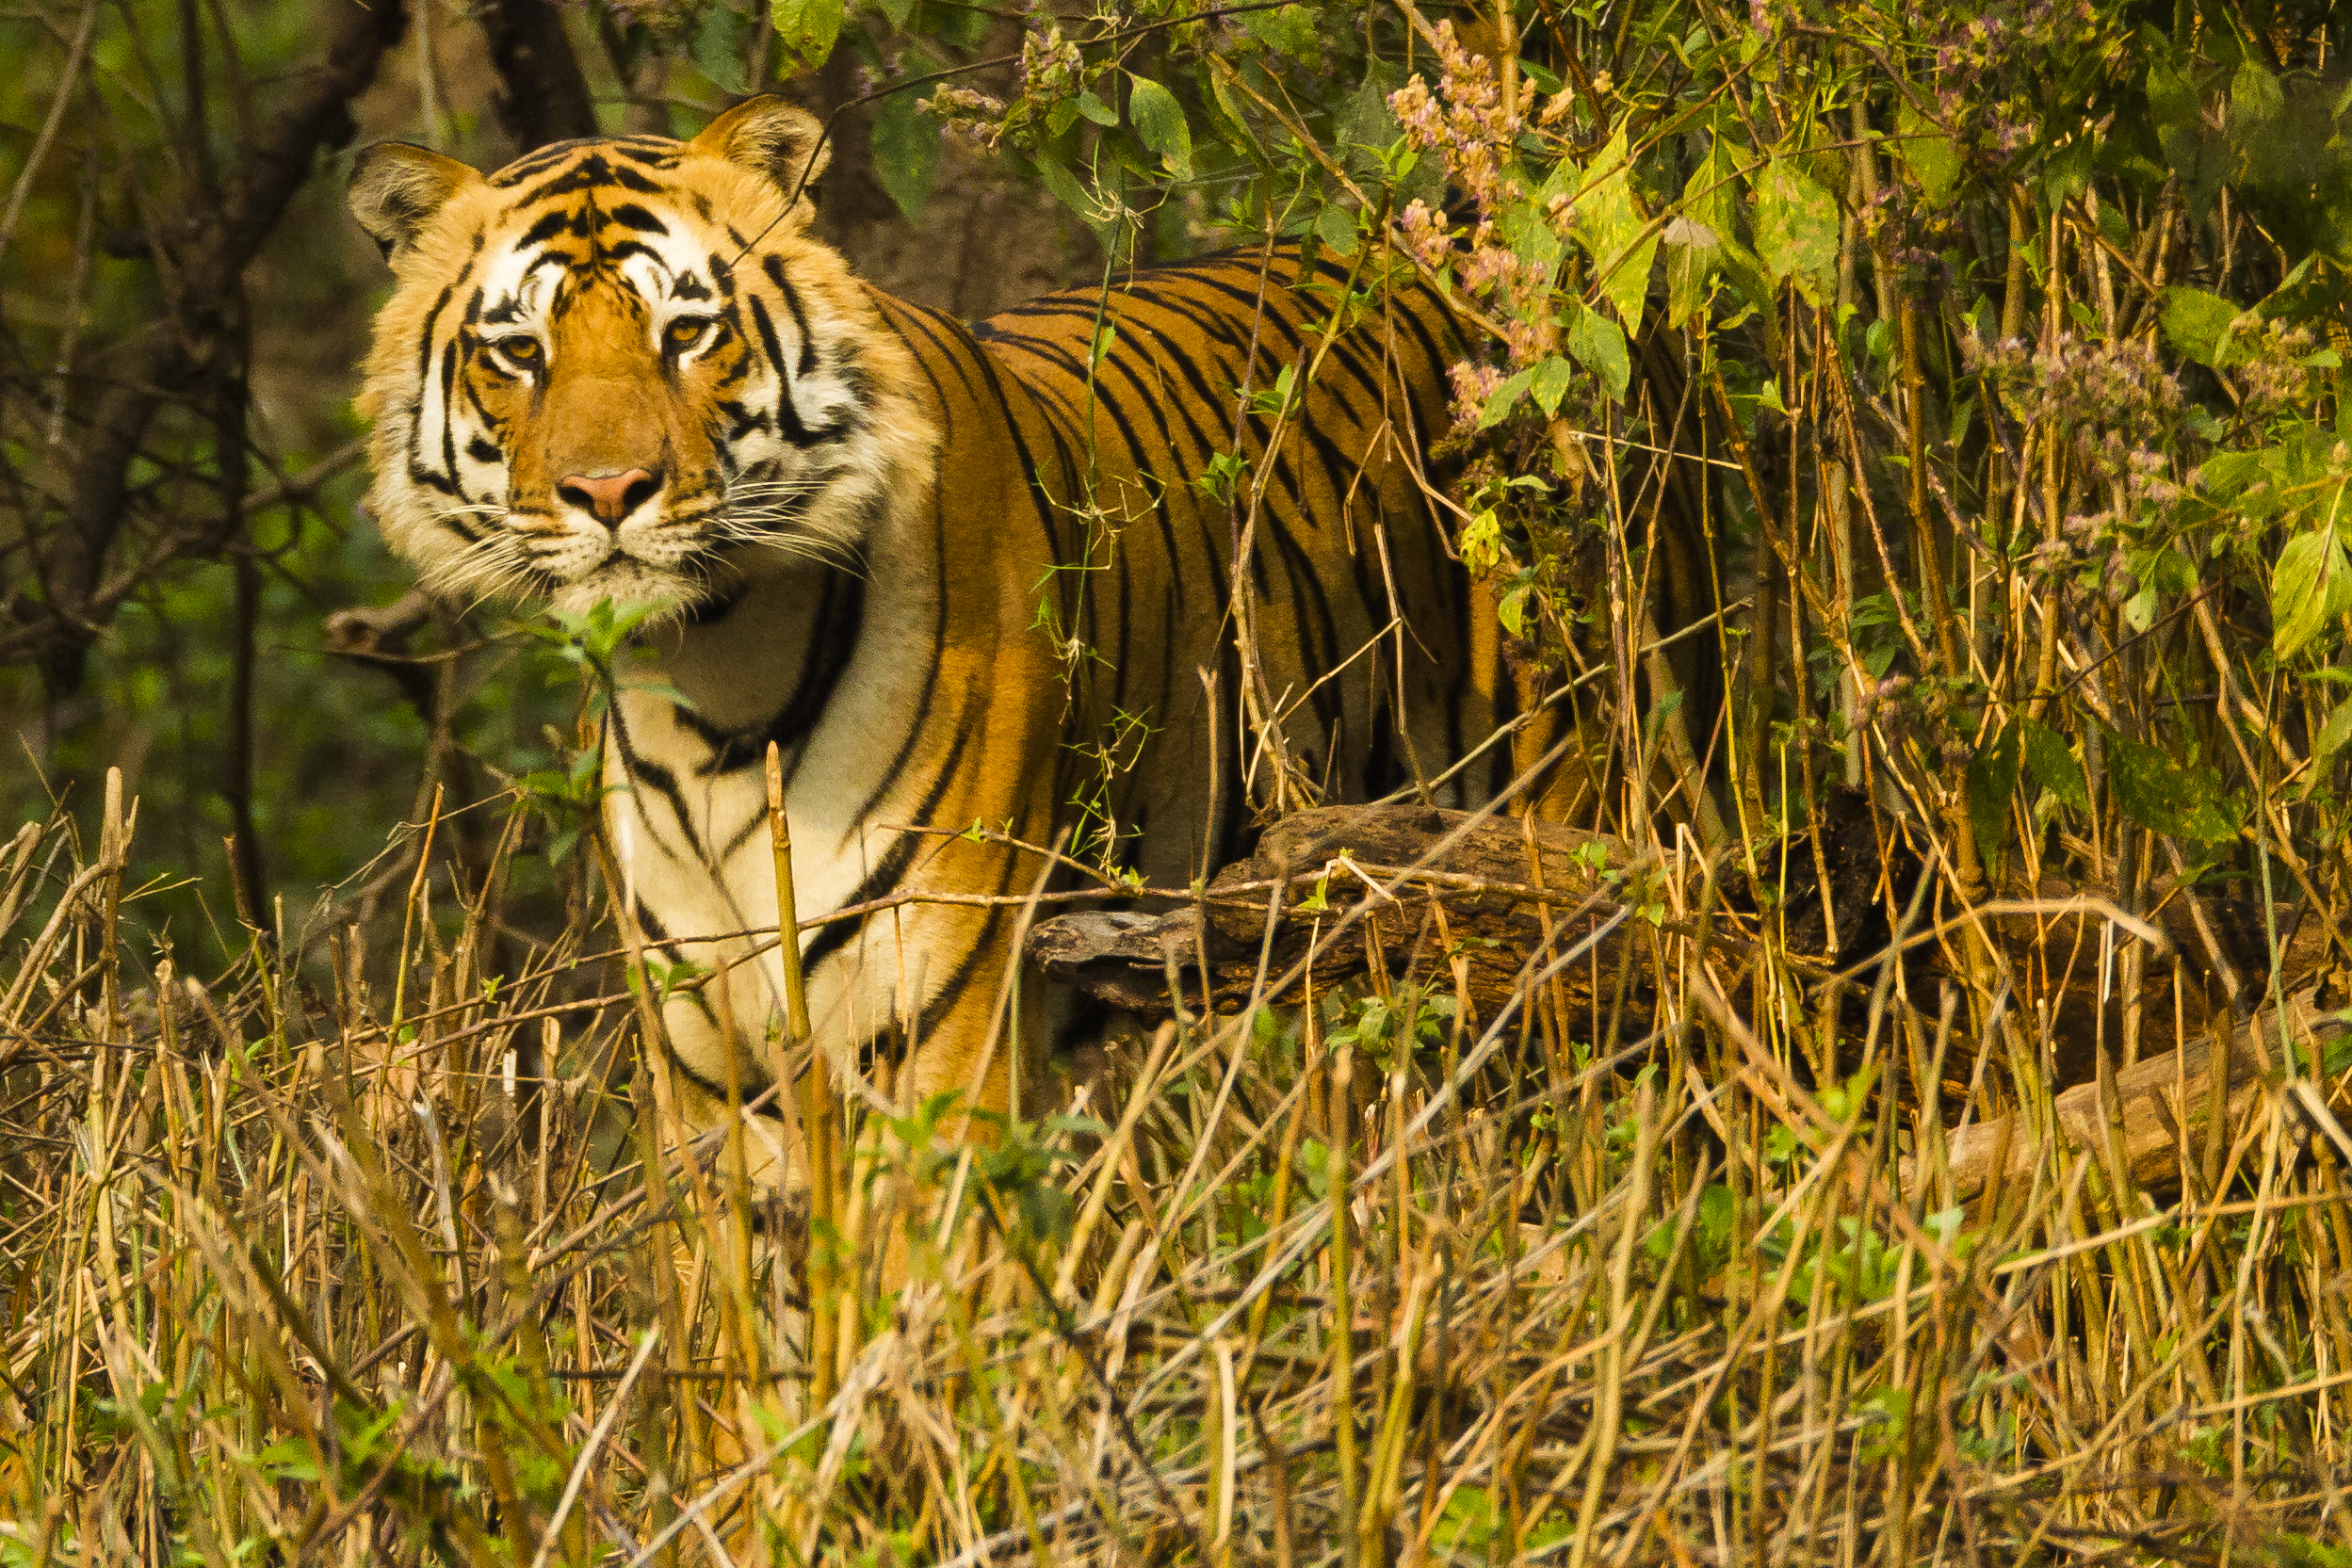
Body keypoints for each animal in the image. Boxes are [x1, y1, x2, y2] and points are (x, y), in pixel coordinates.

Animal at [343, 98, 1524, 1194]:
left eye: (685, 333)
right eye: (519, 352)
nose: (606, 490)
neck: (706, 688)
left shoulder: (929, 1028)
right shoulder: (711, 1075)